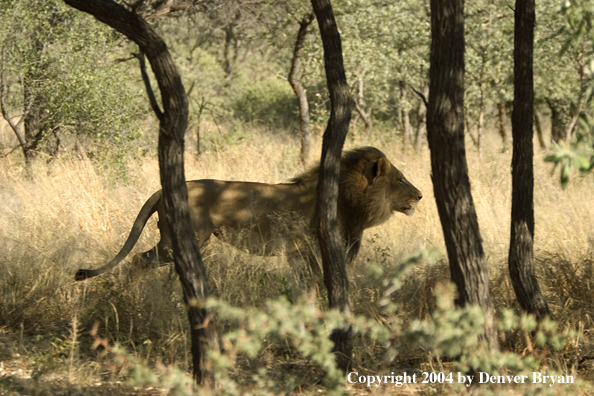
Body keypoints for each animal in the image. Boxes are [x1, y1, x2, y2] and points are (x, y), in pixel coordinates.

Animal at [75, 147, 420, 280]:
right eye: (401, 179)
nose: (420, 195)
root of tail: (164, 189)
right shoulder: (307, 247)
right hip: (181, 239)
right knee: (138, 259)